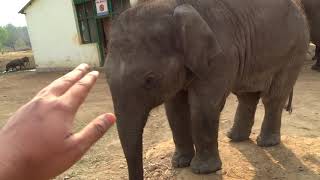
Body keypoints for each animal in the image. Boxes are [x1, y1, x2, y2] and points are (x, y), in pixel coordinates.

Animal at [105, 0, 310, 179]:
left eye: (149, 79)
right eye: (106, 77)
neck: (172, 5)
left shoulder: (221, 56)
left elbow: (203, 106)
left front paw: (202, 170)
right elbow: (175, 110)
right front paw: (180, 164)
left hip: (296, 49)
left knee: (273, 97)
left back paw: (266, 143)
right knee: (246, 95)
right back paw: (235, 137)